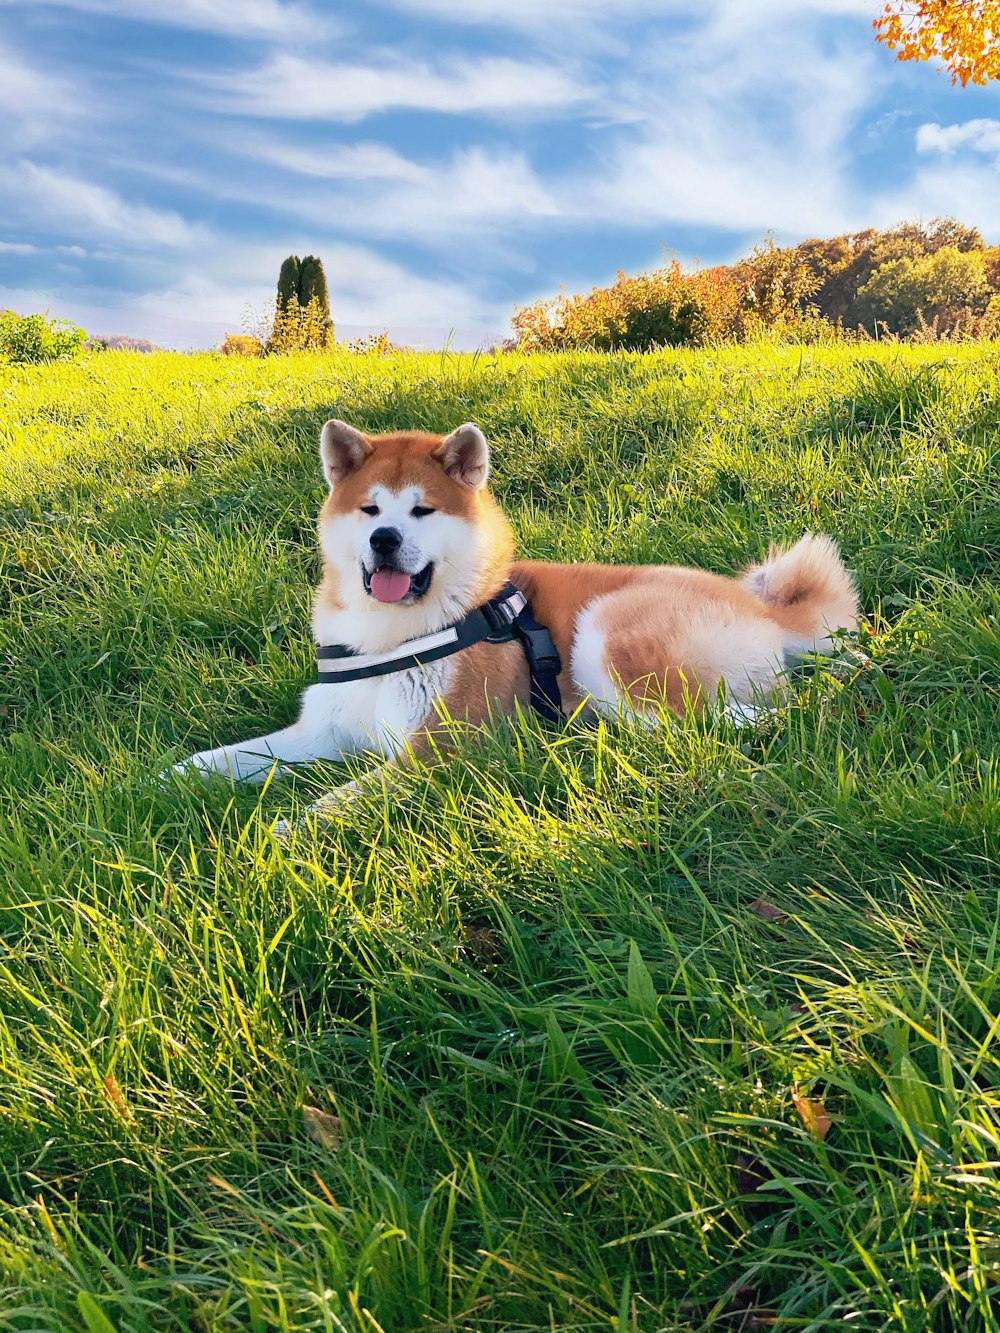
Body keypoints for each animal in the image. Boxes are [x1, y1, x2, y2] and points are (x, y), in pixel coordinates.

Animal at [174, 421, 864, 826]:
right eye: (369, 509)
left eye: (421, 511)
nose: (384, 539)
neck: (398, 635)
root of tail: (764, 608)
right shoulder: (327, 729)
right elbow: (241, 754)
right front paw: (174, 776)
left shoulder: (435, 751)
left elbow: (334, 801)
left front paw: (281, 832)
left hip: (606, 633)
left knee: (741, 719)